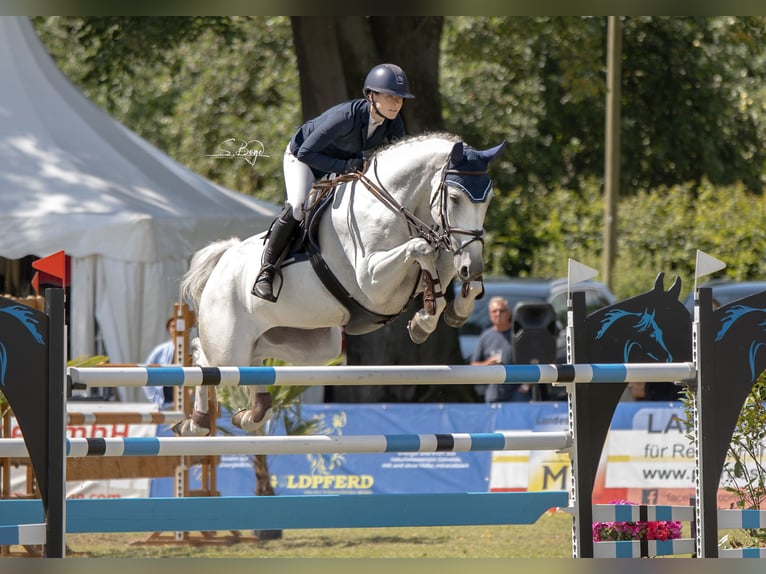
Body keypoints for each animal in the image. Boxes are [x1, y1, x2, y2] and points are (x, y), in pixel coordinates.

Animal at [177, 134, 508, 436]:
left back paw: (253, 413)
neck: (392, 207)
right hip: (228, 344)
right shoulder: (372, 283)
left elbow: (445, 265)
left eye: (489, 199)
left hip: (310, 345)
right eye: (454, 198)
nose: (473, 266)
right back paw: (198, 422)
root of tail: (223, 260)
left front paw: (448, 311)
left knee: (254, 362)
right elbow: (421, 250)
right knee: (205, 357)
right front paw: (426, 318)